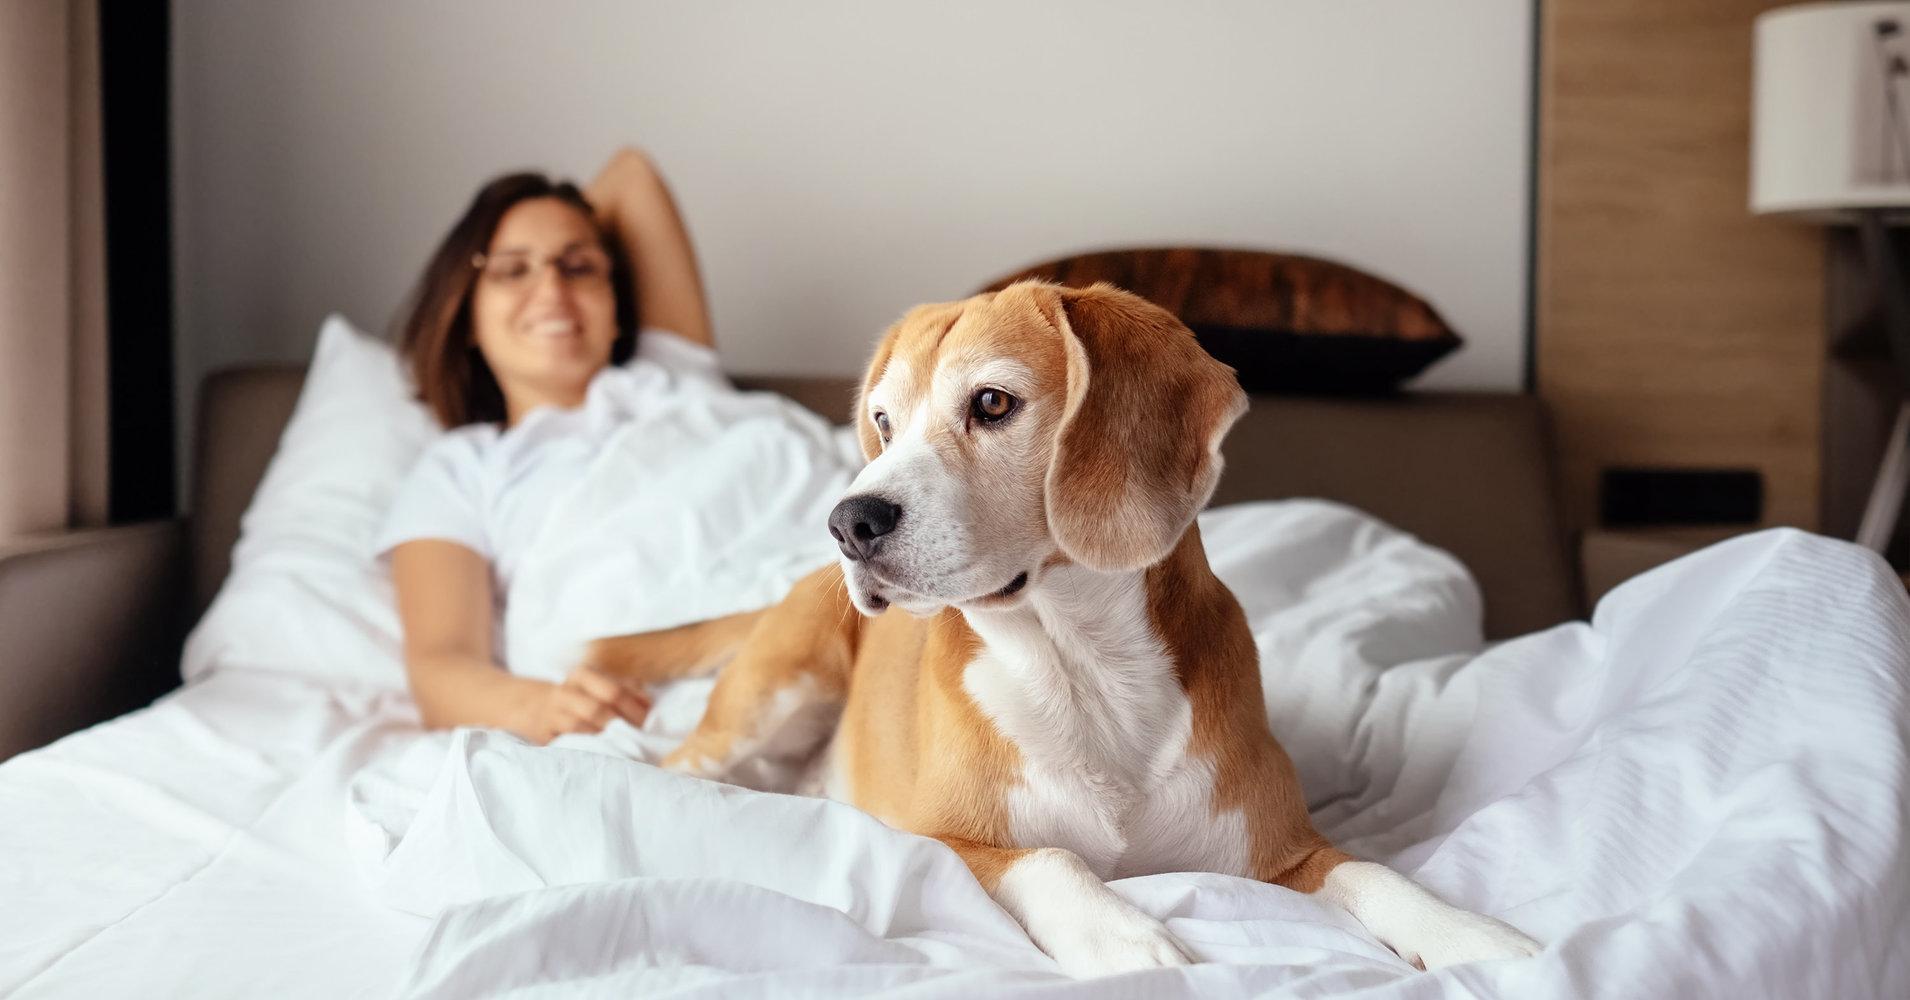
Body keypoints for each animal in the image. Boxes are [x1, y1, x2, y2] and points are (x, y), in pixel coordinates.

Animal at [588, 278, 1543, 977]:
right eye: (885, 422)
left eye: (992, 404)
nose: (847, 522)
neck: (1082, 665)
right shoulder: (942, 841)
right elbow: (1051, 859)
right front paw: (1121, 935)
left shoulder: (1285, 853)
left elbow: (1376, 872)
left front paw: (1471, 934)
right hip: (772, 695)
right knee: (676, 766)